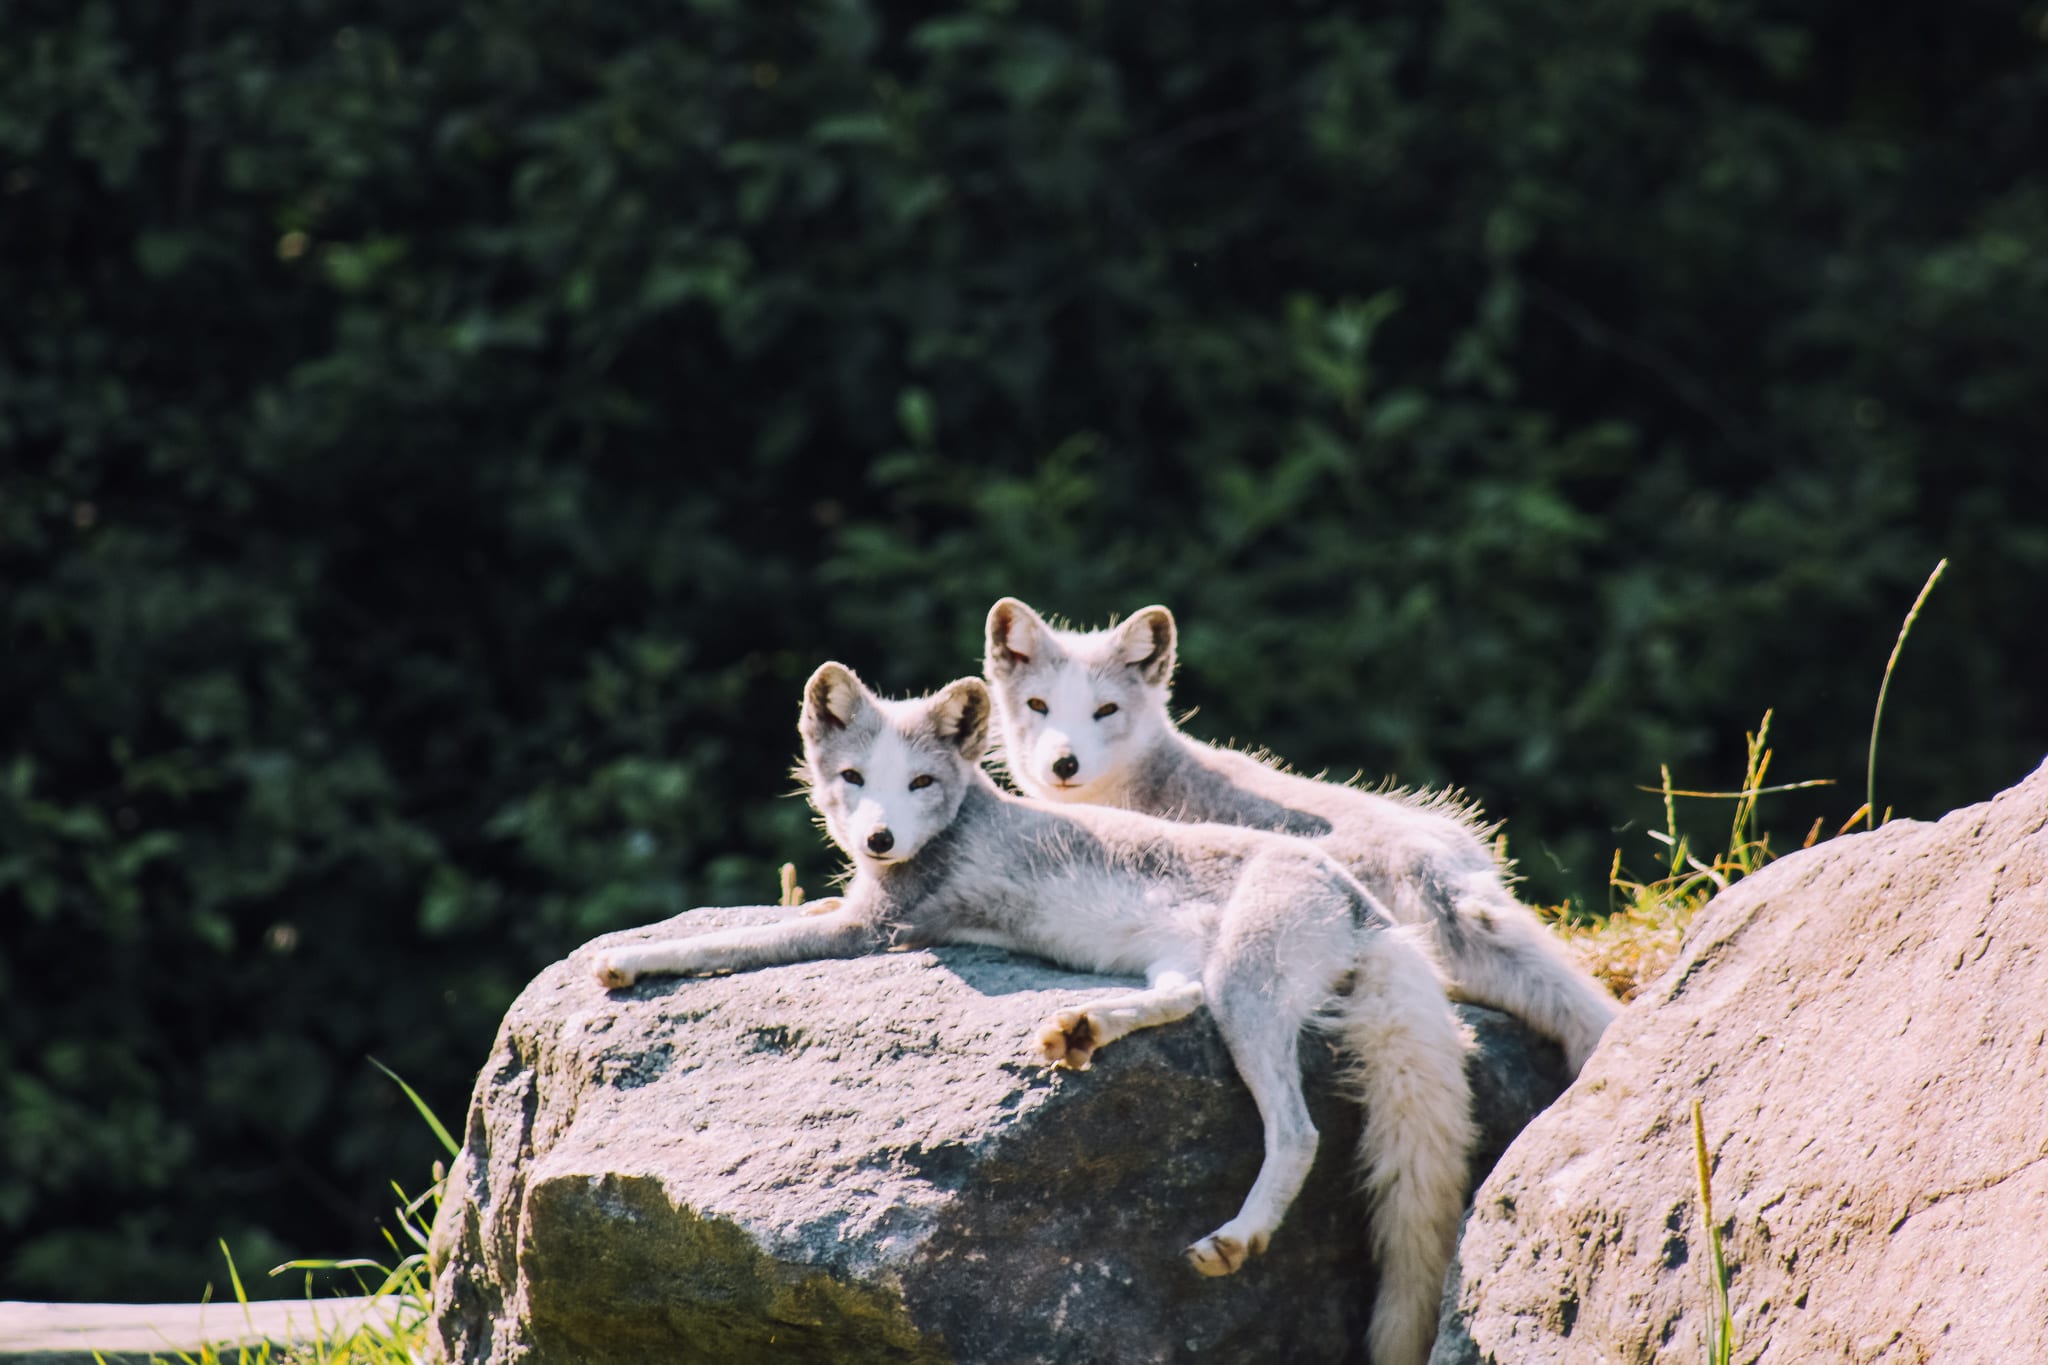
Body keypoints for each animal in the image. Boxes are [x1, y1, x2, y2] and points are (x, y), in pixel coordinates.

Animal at [589, 663, 1474, 1365]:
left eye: (920, 784)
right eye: (853, 777)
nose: (878, 839)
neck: (960, 816)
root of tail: (1362, 904)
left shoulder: (877, 930)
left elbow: (731, 939)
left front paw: (632, 956)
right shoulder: (865, 910)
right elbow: (784, 914)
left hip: (1244, 992)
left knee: (1297, 1132)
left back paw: (1236, 1235)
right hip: (1190, 968)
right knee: (1177, 998)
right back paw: (1081, 1028)